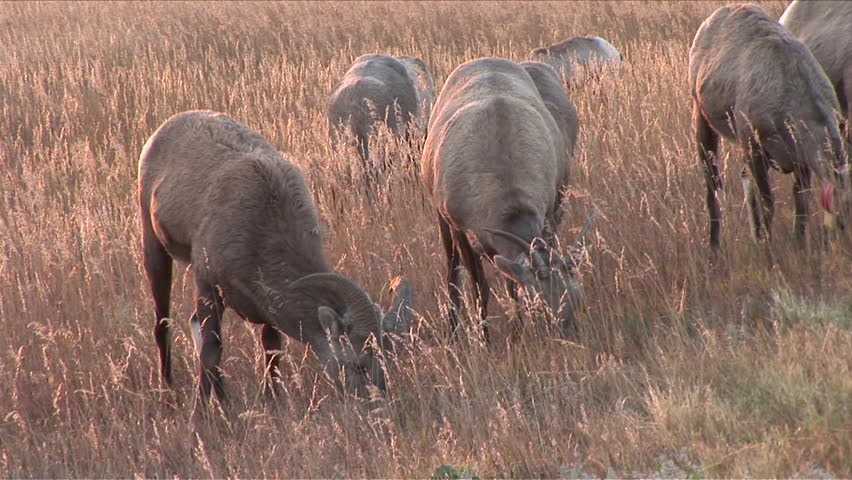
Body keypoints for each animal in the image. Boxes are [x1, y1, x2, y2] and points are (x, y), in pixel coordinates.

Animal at [138, 110, 413, 404]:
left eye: (388, 363)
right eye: (357, 364)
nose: (376, 402)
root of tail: (167, 127)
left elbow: (271, 350)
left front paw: (270, 398)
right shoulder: (207, 285)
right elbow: (211, 352)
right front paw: (202, 410)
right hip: (154, 249)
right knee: (162, 325)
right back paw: (169, 389)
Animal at [421, 57, 592, 340]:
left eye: (577, 300)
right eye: (538, 306)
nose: (565, 340)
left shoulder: (549, 214)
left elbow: (511, 283)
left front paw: (517, 328)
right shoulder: (460, 228)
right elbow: (479, 287)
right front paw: (485, 339)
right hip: (441, 219)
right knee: (452, 270)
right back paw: (454, 330)